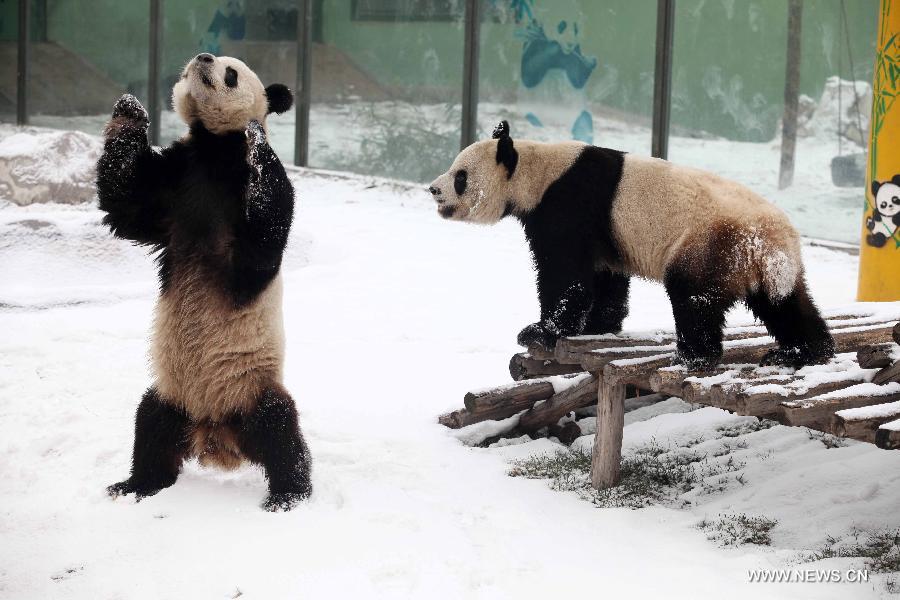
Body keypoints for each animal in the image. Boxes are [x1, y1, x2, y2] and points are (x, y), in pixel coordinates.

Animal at [96, 53, 310, 511]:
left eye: (231, 73)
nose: (204, 58)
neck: (214, 148)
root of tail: (216, 437)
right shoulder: (176, 184)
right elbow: (125, 202)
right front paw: (130, 108)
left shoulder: (237, 193)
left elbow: (262, 246)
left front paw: (258, 138)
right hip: (173, 394)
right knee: (151, 425)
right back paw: (135, 485)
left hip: (251, 388)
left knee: (280, 429)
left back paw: (287, 496)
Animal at [428, 121, 835, 370]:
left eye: (460, 176)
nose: (434, 189)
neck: (536, 170)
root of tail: (771, 244)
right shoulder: (604, 232)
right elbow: (604, 277)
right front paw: (598, 326)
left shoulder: (567, 206)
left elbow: (566, 275)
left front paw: (541, 330)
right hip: (762, 264)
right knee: (785, 305)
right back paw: (804, 351)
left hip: (711, 243)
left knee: (693, 296)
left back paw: (694, 356)